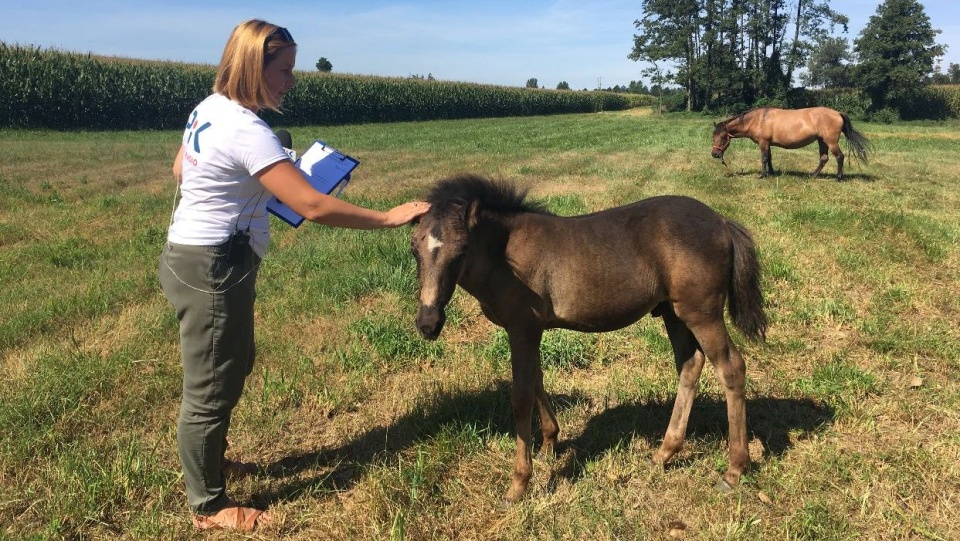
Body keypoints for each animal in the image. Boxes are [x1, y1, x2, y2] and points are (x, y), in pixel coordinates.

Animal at [408, 174, 768, 502]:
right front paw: (549, 444)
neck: (505, 254)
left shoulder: (522, 329)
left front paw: (518, 483)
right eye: (414, 248)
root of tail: (721, 221)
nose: (428, 323)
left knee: (731, 367)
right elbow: (537, 379)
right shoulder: (531, 331)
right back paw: (664, 452)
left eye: (461, 250)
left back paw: (733, 470)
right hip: (673, 312)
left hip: (701, 313)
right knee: (690, 363)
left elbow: (521, 398)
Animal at [712, 106, 872, 181]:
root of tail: (838, 113)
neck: (758, 119)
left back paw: (838, 178)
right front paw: (771, 173)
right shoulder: (768, 143)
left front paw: (763, 175)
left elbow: (763, 158)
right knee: (824, 158)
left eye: (722, 137)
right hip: (822, 141)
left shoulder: (763, 142)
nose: (714, 154)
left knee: (839, 157)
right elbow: (769, 159)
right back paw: (812, 176)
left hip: (831, 142)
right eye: (713, 136)